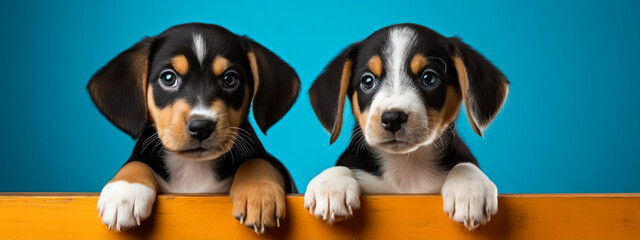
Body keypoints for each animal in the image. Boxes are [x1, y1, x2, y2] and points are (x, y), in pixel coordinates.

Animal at [87, 23, 300, 233]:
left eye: (230, 79)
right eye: (168, 78)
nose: (201, 127)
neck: (193, 168)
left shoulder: (276, 167)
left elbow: (257, 162)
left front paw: (259, 193)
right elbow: (136, 162)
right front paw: (124, 192)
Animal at [304, 23, 510, 230]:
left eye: (429, 78)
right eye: (367, 81)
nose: (393, 118)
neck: (407, 167)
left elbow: (464, 165)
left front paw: (469, 187)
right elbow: (342, 167)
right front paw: (330, 186)